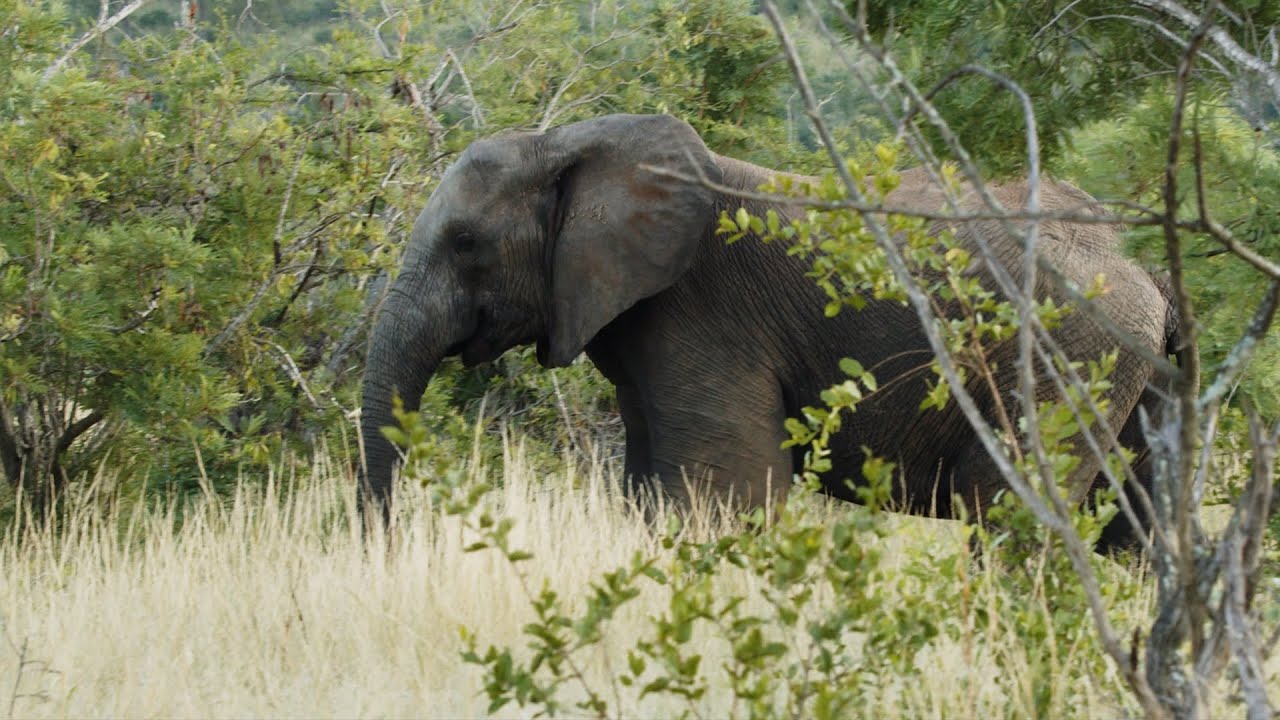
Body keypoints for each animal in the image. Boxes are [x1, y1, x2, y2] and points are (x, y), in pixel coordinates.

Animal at [358, 113, 1180, 551]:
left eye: (466, 243)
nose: (390, 544)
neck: (565, 142)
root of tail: (1142, 269)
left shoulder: (706, 311)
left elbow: (724, 488)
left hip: (1070, 356)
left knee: (1009, 507)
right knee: (1136, 532)